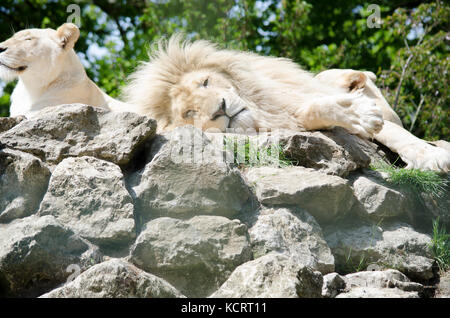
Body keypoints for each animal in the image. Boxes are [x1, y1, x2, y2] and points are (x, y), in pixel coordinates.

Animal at [124, 35, 450, 173]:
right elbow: (313, 112)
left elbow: (399, 136)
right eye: (189, 112)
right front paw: (351, 114)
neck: (263, 113)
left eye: (205, 82)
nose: (220, 108)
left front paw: (433, 158)